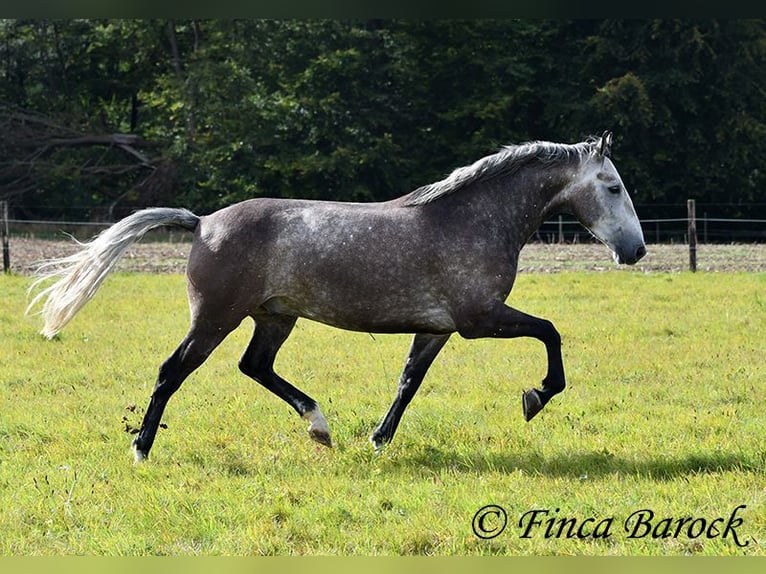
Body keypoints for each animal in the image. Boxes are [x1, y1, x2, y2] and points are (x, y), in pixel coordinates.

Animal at [27, 130, 644, 464]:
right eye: (613, 186)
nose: (635, 250)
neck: (470, 219)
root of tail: (201, 222)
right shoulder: (480, 319)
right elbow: (550, 333)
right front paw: (535, 397)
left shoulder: (438, 327)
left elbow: (408, 382)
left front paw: (377, 440)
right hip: (215, 319)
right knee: (170, 371)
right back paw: (141, 450)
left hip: (274, 318)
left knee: (255, 367)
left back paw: (320, 428)